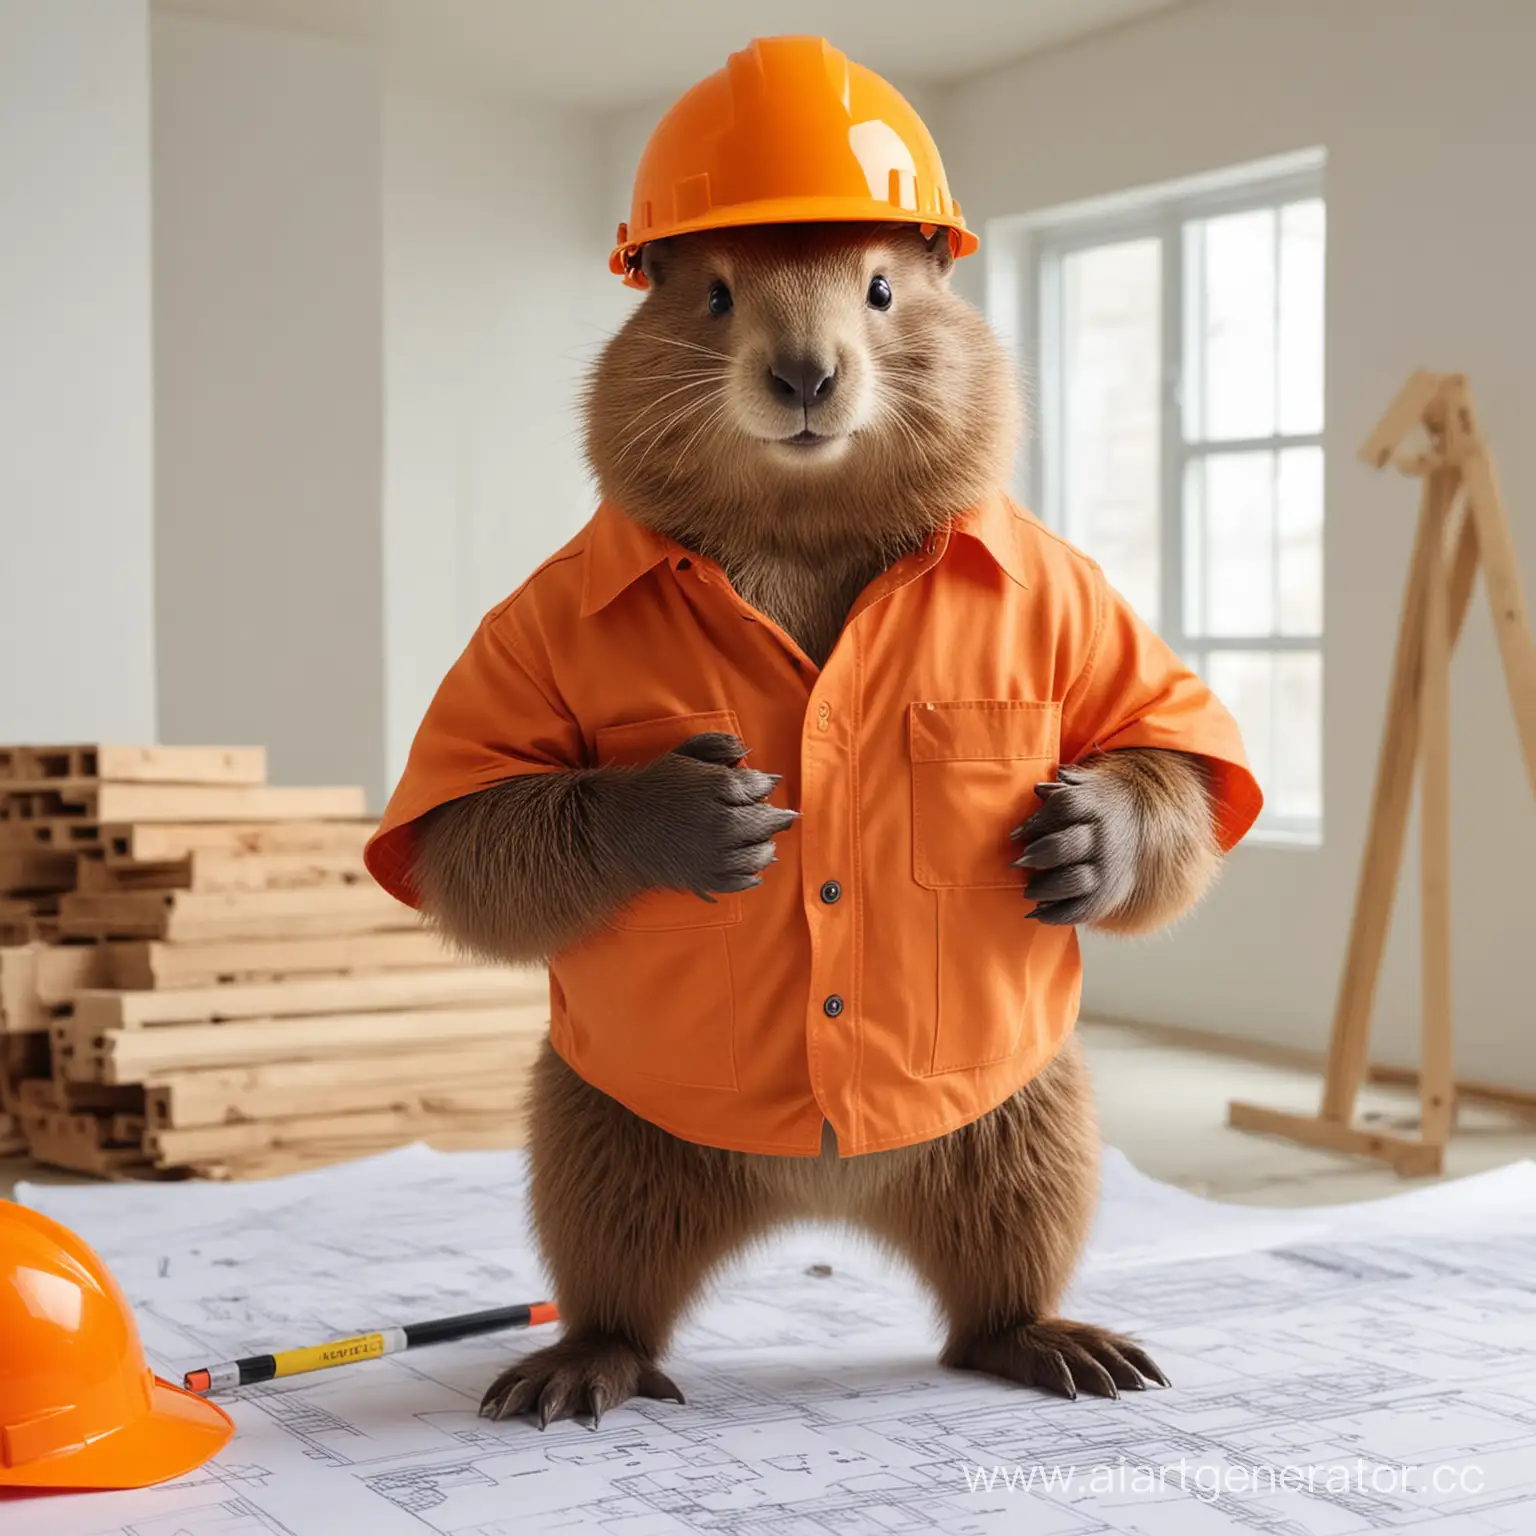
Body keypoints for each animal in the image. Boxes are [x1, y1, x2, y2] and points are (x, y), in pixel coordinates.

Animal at [368, 36, 1259, 1425]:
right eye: (716, 294)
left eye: (883, 286)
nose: (805, 373)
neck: (800, 524)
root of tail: (822, 1192)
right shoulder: (528, 621)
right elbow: (472, 830)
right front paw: (703, 814)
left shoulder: (1074, 588)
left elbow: (1184, 754)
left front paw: (1074, 839)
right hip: (592, 1137)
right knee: (614, 1286)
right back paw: (568, 1374)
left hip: (1033, 1133)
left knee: (990, 1298)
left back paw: (1073, 1350)